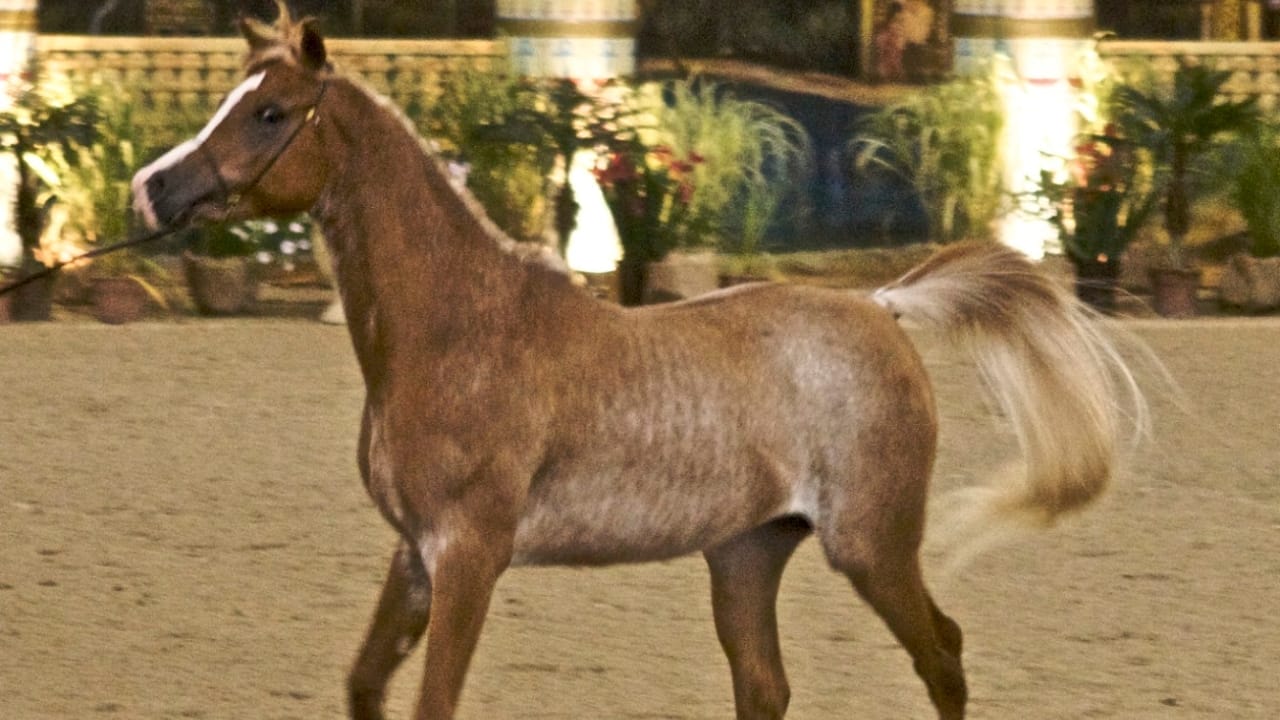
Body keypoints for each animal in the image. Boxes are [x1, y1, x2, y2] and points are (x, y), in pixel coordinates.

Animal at [129, 7, 1144, 720]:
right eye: (229, 101)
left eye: (269, 113)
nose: (154, 189)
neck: (458, 331)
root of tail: (879, 307)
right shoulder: (414, 555)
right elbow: (365, 688)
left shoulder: (469, 556)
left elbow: (432, 702)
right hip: (746, 555)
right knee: (767, 687)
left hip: (873, 547)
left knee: (943, 655)